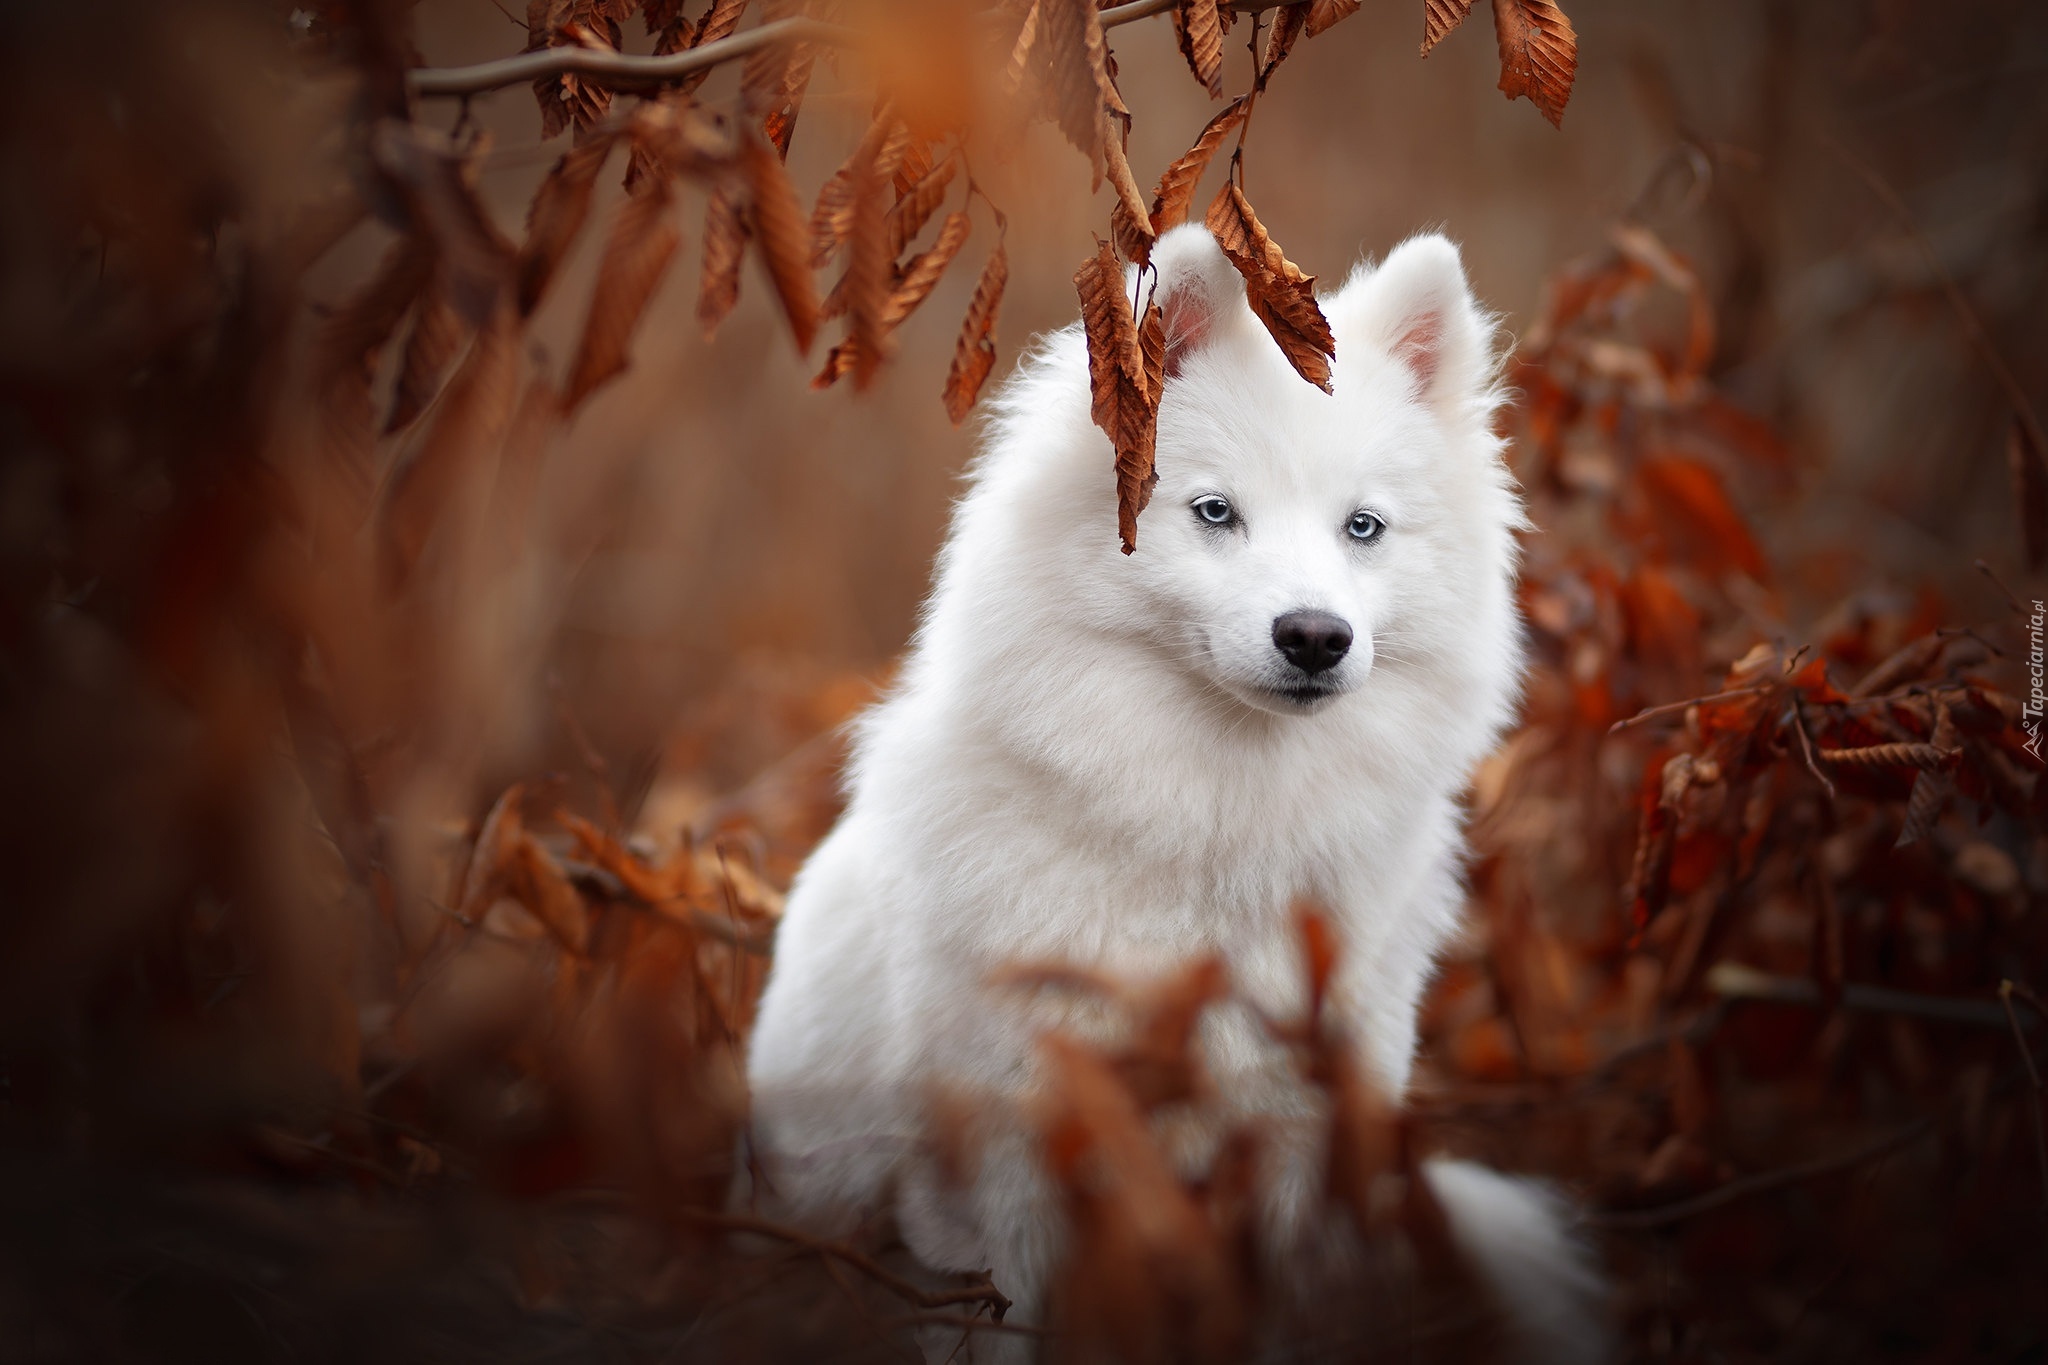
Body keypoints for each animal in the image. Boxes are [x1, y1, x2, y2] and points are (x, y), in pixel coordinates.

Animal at [745, 224, 1605, 1358]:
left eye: (1362, 528)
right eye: (1213, 512)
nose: (1315, 636)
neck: (1215, 841)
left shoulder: (1296, 1150)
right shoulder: (1004, 1167)